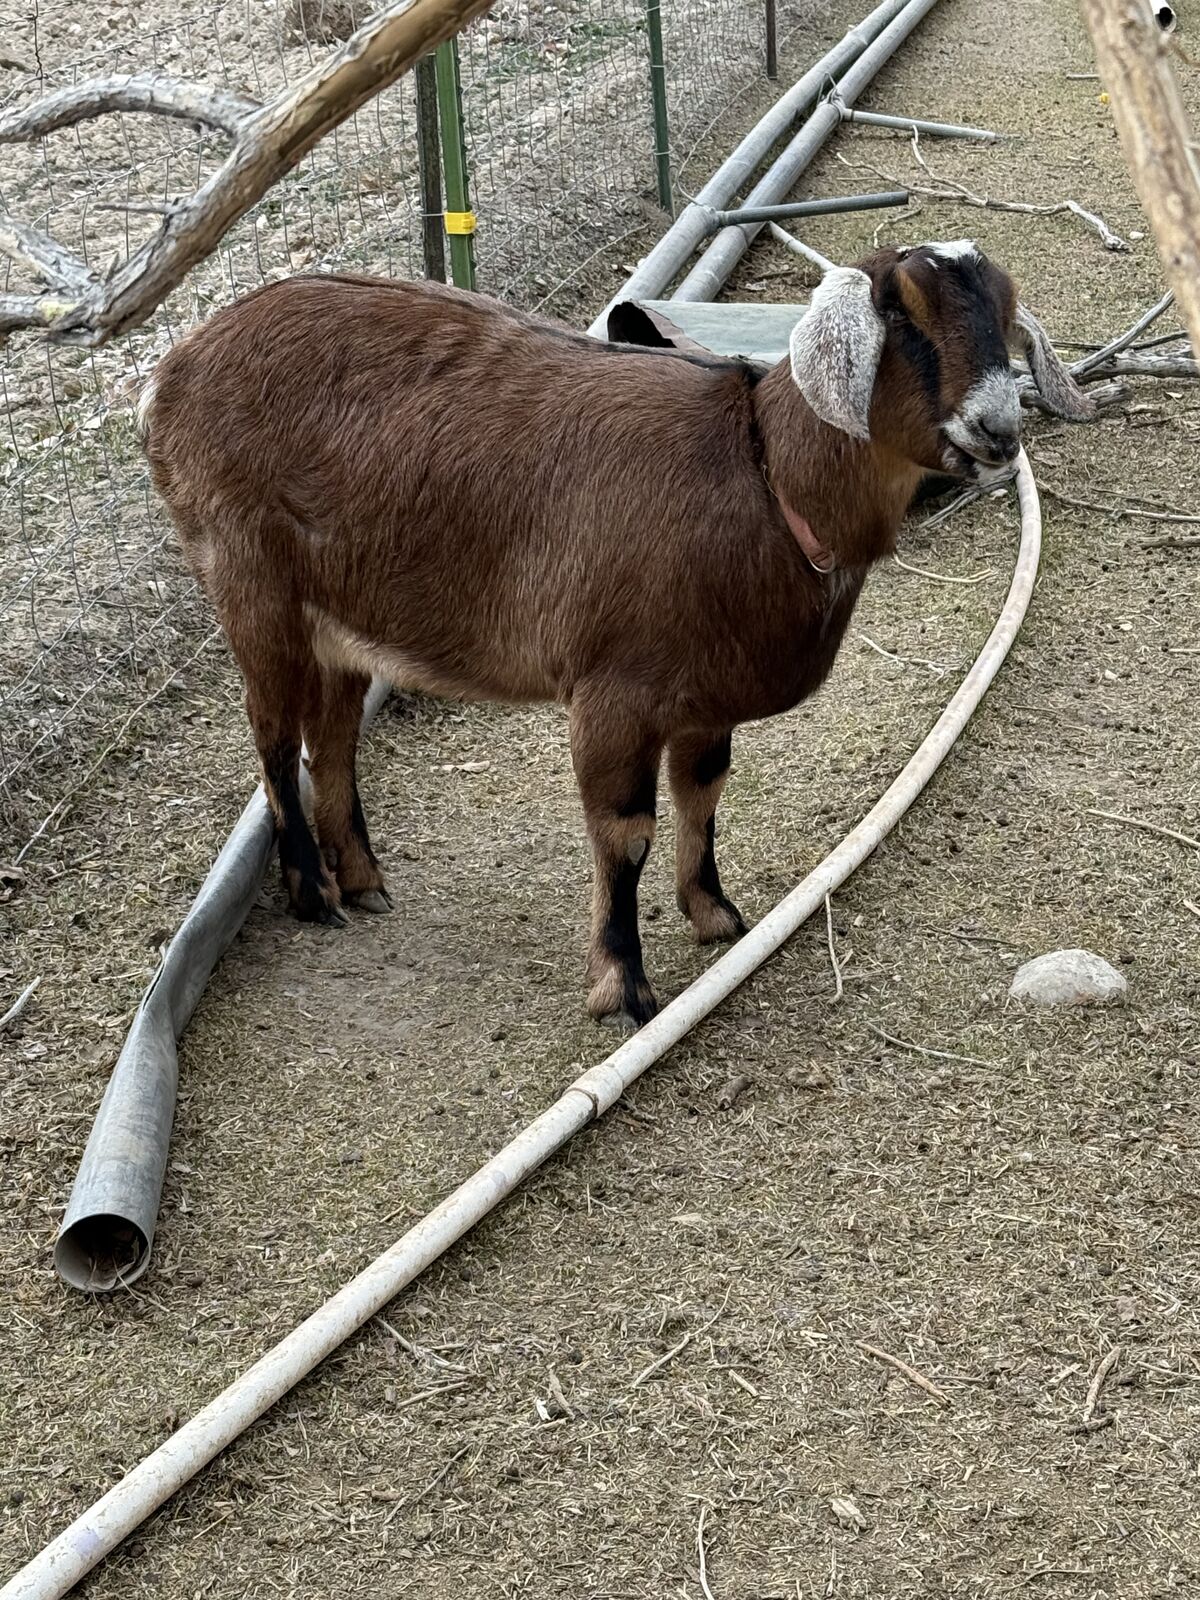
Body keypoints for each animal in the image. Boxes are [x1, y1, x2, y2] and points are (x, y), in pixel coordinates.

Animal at [140, 242, 1090, 1026]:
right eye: (903, 318)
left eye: (1005, 315)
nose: (998, 428)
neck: (766, 473)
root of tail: (170, 375)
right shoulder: (614, 693)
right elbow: (624, 832)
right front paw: (622, 987)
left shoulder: (705, 697)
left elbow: (705, 794)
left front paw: (717, 917)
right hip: (248, 581)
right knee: (273, 735)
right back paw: (312, 891)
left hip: (344, 617)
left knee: (331, 738)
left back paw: (365, 880)